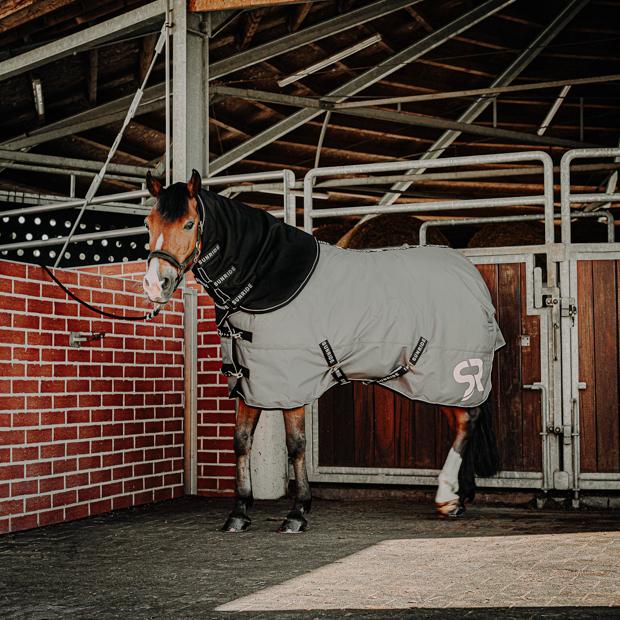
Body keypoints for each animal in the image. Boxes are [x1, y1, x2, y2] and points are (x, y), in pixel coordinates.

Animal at [143, 170, 502, 532]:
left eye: (189, 224)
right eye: (147, 223)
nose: (155, 284)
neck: (264, 277)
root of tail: (471, 275)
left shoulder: (290, 380)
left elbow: (296, 444)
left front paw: (297, 512)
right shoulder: (251, 379)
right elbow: (241, 441)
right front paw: (239, 513)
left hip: (453, 370)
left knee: (467, 421)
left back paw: (446, 496)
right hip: (434, 380)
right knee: (461, 422)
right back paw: (458, 498)